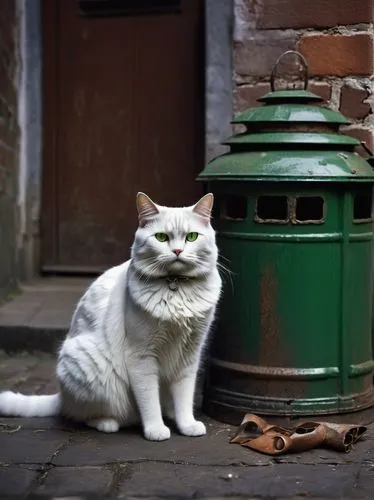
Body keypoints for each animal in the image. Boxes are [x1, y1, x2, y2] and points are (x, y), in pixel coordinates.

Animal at [0, 193, 222, 440]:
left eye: (191, 237)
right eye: (161, 237)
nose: (177, 252)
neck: (175, 286)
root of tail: (62, 396)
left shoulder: (189, 355)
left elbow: (184, 397)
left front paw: (187, 425)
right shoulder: (141, 356)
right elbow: (149, 400)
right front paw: (155, 430)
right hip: (91, 369)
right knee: (84, 415)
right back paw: (108, 423)